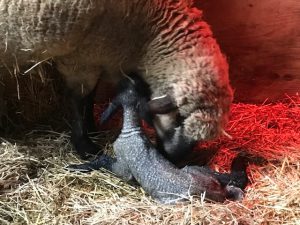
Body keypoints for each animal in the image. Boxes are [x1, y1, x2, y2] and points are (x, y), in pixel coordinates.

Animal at [0, 0, 233, 162]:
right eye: (178, 119)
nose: (173, 160)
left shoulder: (99, 54)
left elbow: (91, 96)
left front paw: (93, 127)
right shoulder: (81, 56)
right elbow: (79, 98)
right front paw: (85, 145)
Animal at [67, 75, 247, 204]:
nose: (127, 76)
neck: (131, 128)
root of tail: (213, 189)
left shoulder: (123, 168)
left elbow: (105, 161)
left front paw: (78, 166)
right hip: (196, 170)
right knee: (231, 187)